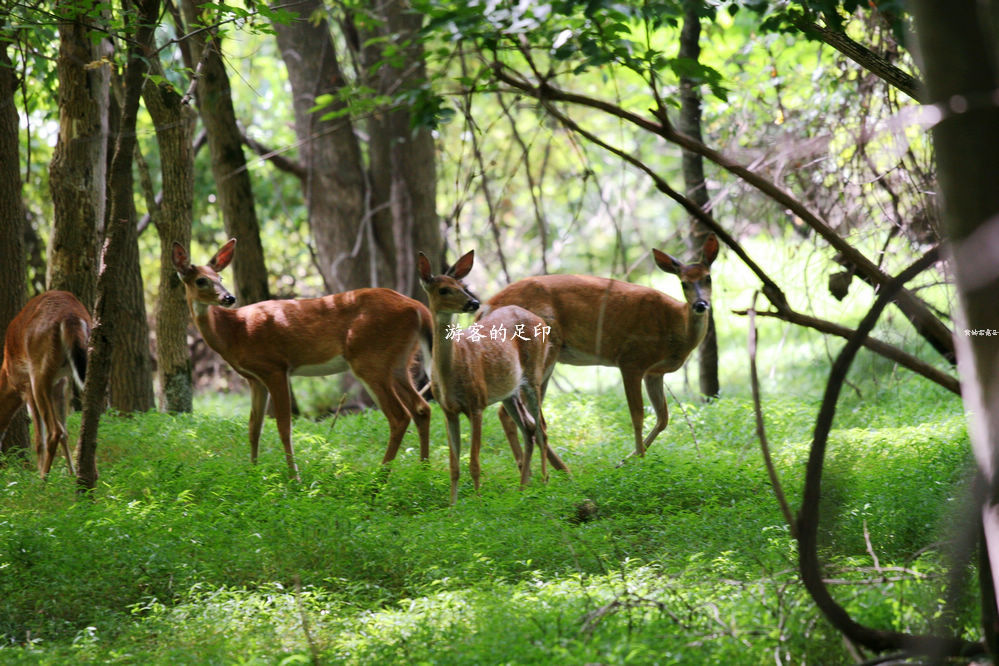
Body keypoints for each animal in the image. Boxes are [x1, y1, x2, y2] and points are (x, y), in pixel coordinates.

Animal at [0, 288, 93, 474]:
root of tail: (71, 317)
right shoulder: (60, 382)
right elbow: (65, 432)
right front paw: (71, 473)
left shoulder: (26, 386)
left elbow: (39, 438)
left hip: (39, 371)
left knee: (53, 431)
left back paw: (42, 478)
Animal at [171, 239, 434, 478]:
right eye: (202, 280)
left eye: (220, 278)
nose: (229, 298)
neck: (235, 332)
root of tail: (419, 307)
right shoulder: (254, 379)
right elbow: (254, 427)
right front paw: (253, 473)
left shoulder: (275, 367)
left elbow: (283, 426)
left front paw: (293, 478)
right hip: (398, 362)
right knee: (422, 408)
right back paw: (423, 472)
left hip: (370, 359)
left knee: (399, 416)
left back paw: (379, 480)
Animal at [416, 249, 572, 504]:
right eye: (444, 289)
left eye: (462, 285)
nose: (473, 302)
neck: (450, 373)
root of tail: (537, 318)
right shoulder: (448, 410)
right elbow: (454, 466)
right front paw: (452, 505)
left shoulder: (476, 403)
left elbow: (474, 463)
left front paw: (479, 501)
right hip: (508, 392)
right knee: (528, 429)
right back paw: (523, 488)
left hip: (534, 376)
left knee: (541, 428)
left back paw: (544, 481)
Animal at [484, 232, 720, 456]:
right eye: (683, 283)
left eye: (708, 278)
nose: (700, 304)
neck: (676, 327)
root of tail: (489, 304)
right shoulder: (631, 359)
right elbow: (637, 415)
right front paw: (638, 459)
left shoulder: (654, 372)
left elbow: (663, 418)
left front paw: (628, 458)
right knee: (511, 412)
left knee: (518, 412)